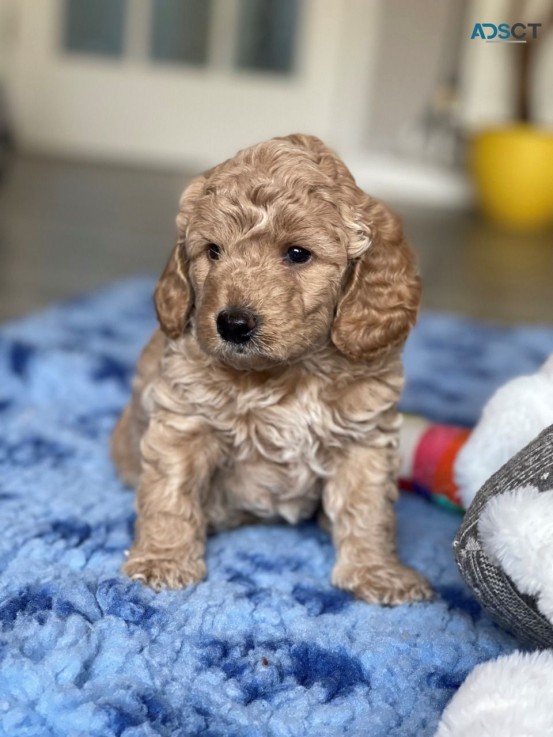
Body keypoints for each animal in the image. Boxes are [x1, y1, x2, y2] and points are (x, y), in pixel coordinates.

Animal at [111, 132, 432, 604]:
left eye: (298, 254)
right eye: (213, 252)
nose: (232, 323)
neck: (288, 372)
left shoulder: (364, 437)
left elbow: (367, 508)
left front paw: (378, 572)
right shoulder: (185, 419)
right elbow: (170, 493)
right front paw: (162, 560)